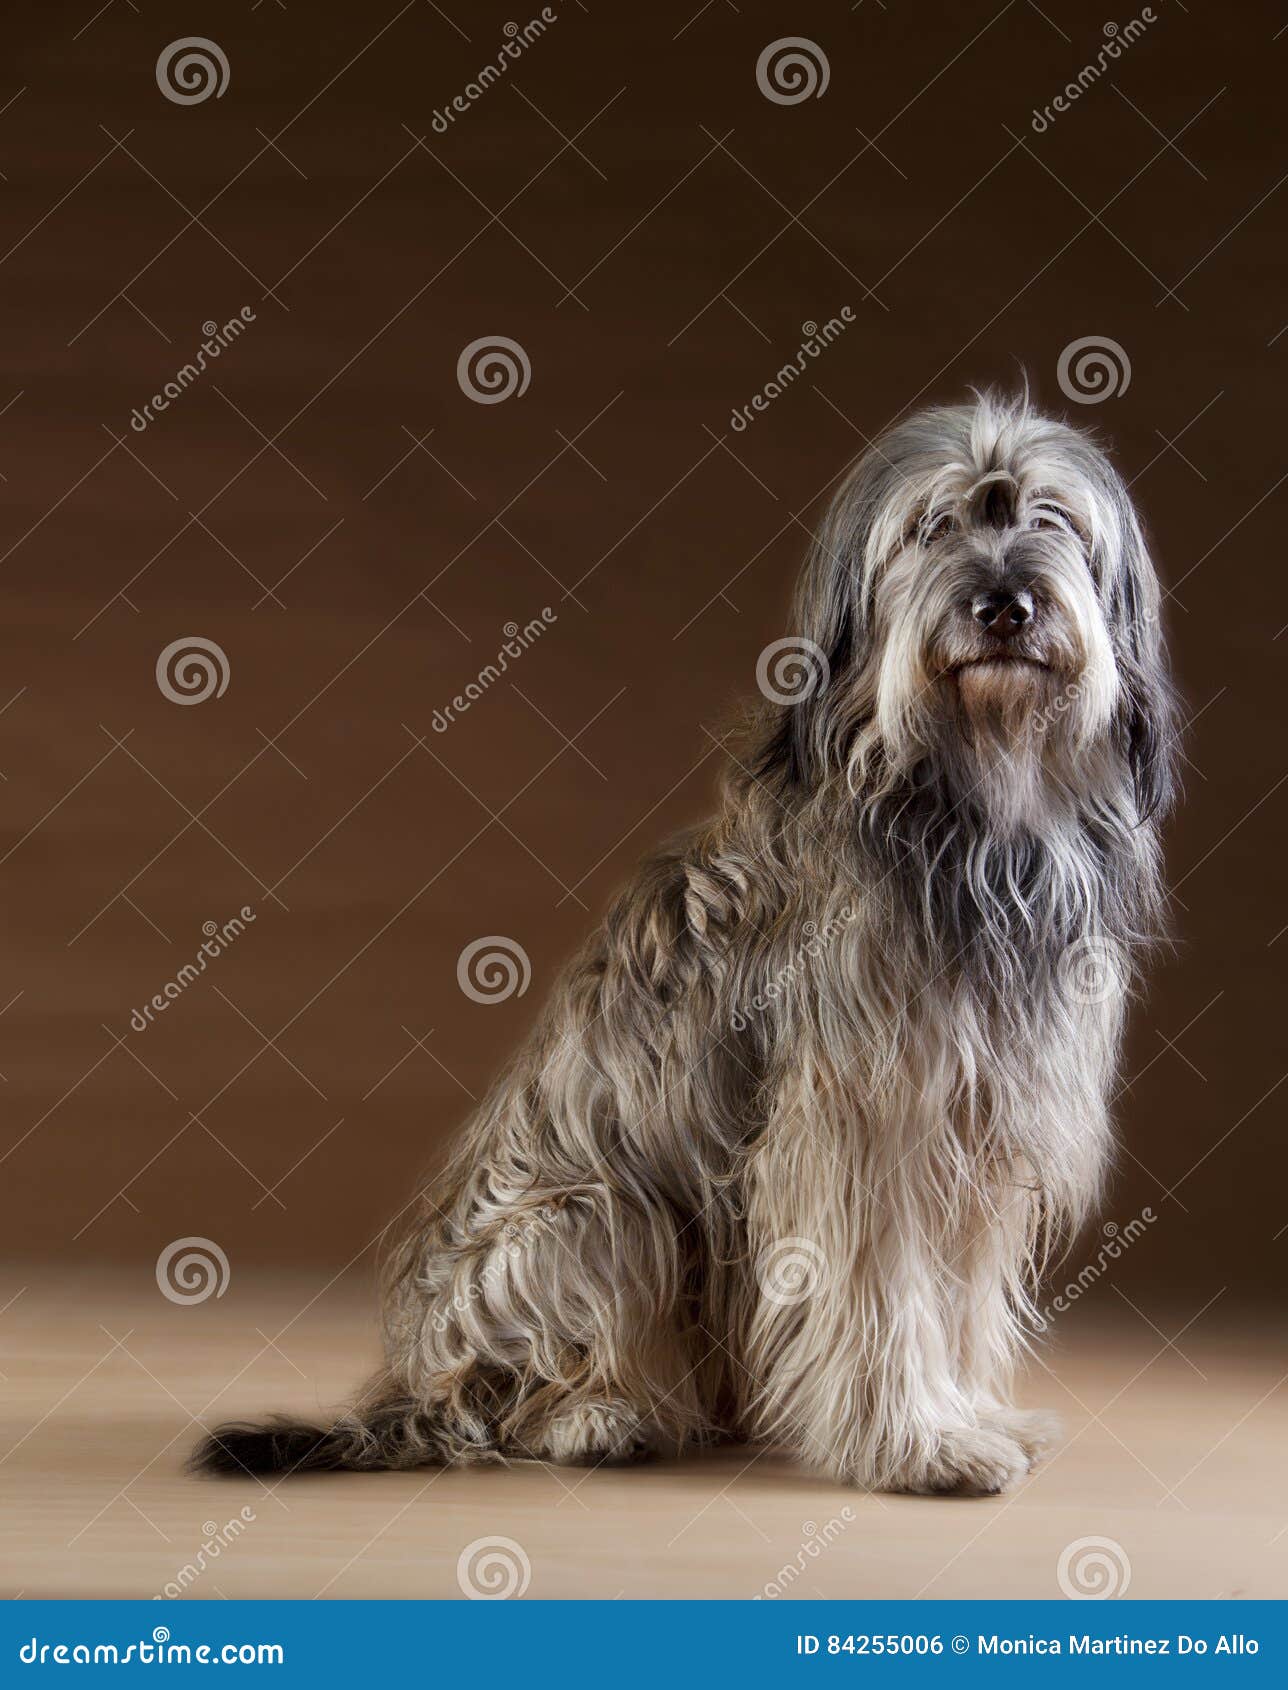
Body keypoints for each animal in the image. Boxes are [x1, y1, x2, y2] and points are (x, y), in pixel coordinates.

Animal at [193, 392, 1176, 1493]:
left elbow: (952, 1300)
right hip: (592, 1215)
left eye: (1052, 520)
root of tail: (412, 1384)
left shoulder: (974, 1126)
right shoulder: (860, 1129)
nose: (1005, 605)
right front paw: (915, 1445)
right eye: (934, 527)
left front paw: (965, 1415)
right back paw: (599, 1418)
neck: (968, 808)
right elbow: (882, 1292)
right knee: (507, 1401)